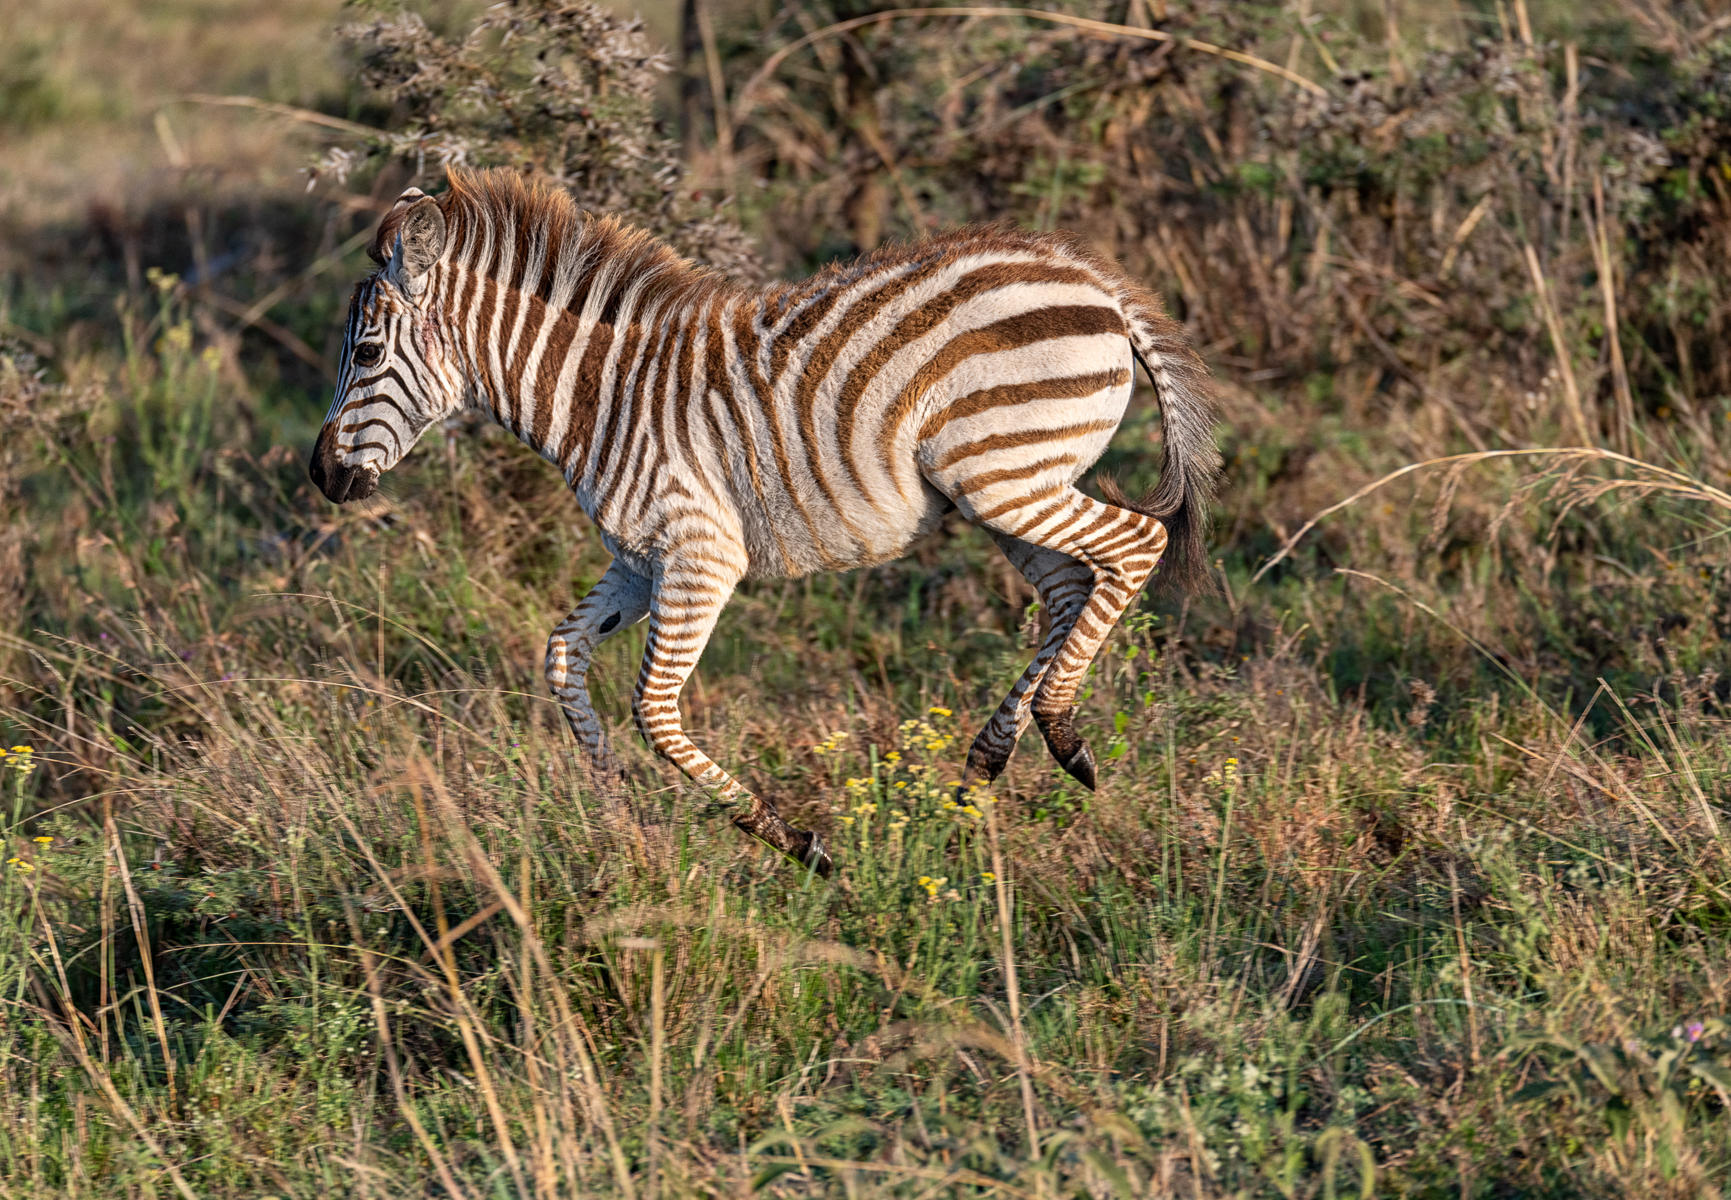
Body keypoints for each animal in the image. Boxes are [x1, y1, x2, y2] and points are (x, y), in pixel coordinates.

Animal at [315, 166, 1232, 869]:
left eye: (366, 353)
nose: (320, 475)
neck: (599, 397)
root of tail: (1090, 277)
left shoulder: (699, 552)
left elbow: (653, 708)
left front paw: (789, 839)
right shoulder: (639, 559)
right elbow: (561, 656)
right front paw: (617, 811)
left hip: (1003, 473)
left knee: (1135, 543)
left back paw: (1061, 731)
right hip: (1005, 488)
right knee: (1071, 588)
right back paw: (987, 760)